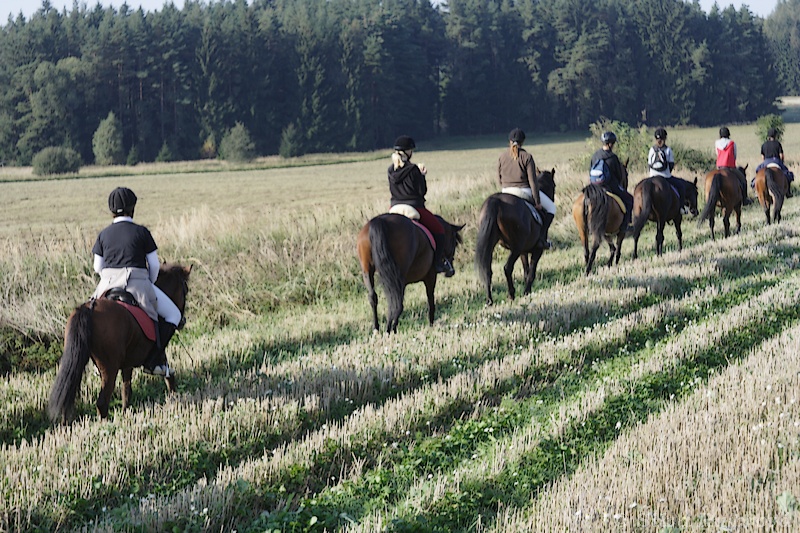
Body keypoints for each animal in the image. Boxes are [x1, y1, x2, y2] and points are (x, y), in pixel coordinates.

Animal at [48, 260, 191, 420]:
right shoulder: (159, 353)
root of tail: (90, 308)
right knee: (102, 402)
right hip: (110, 368)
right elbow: (169, 376)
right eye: (185, 290)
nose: (182, 321)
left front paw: (125, 413)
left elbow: (126, 390)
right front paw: (175, 398)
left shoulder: (127, 363)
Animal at [476, 168, 556, 306]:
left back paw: (489, 300)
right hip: (516, 248)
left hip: (493, 245)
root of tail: (495, 201)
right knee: (507, 268)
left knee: (487, 270)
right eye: (554, 185)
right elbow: (531, 272)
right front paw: (527, 291)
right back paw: (511, 294)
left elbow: (526, 270)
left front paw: (527, 291)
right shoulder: (537, 250)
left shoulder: (524, 251)